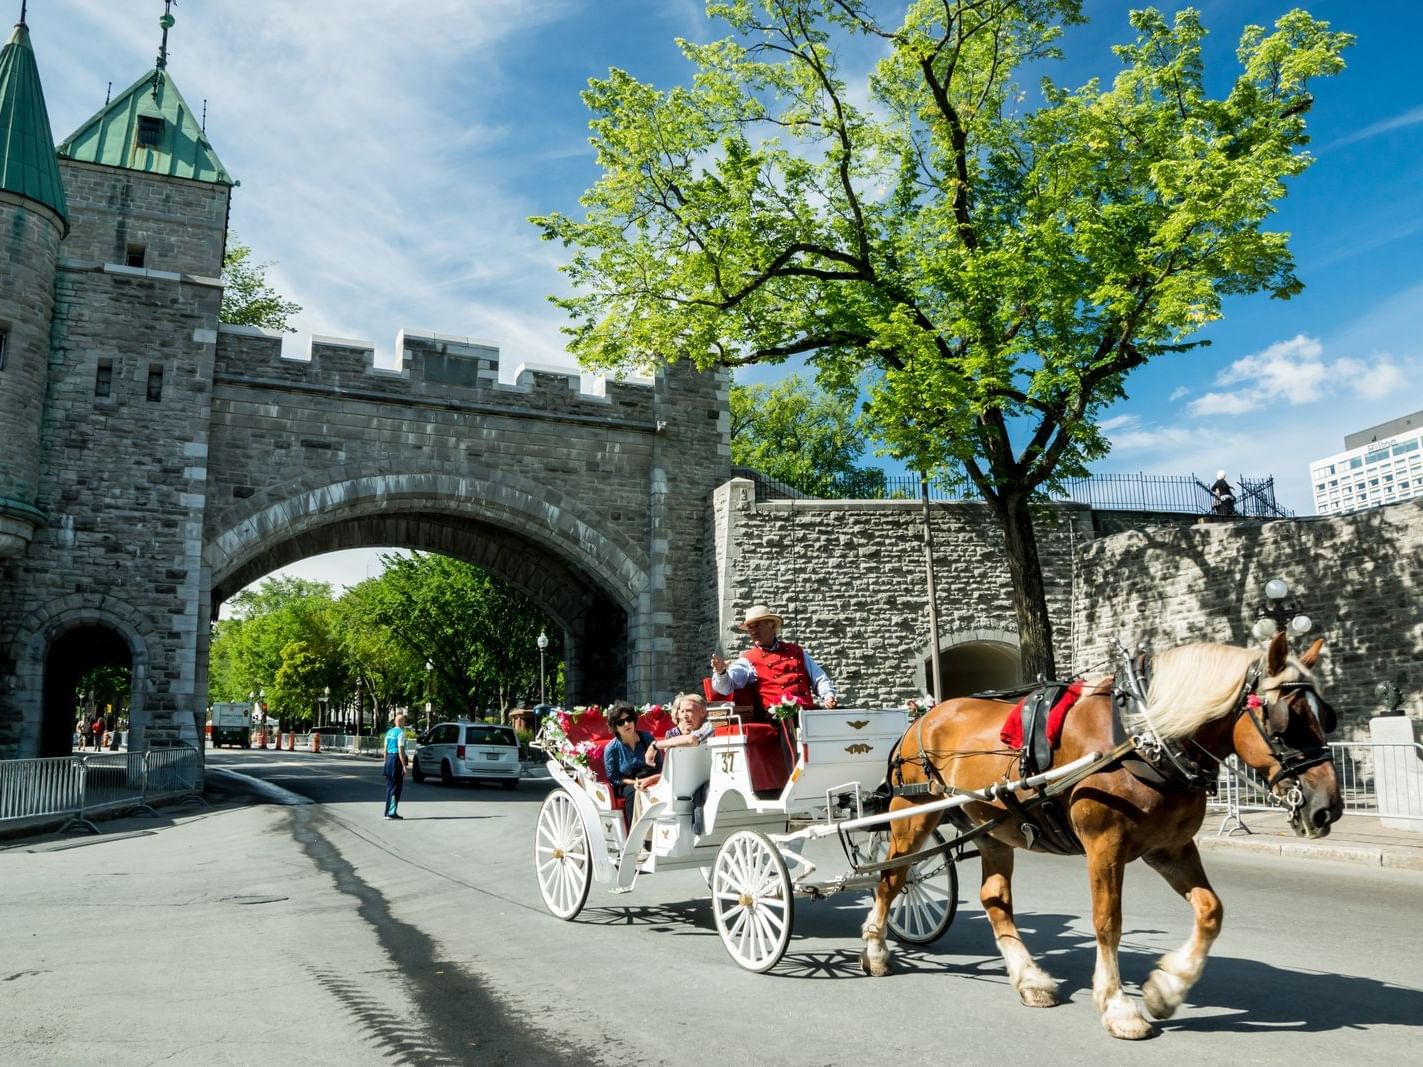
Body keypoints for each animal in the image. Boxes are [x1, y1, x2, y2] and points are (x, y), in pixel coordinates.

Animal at [859, 634, 1337, 1047]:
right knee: (892, 880)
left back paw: (1029, 978)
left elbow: (1210, 910)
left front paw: (1166, 988)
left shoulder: (1170, 849)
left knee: (994, 899)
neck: (1140, 736)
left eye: (1326, 716)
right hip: (912, 813)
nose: (1327, 807)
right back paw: (876, 951)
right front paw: (1118, 1006)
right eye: (1287, 721)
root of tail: (925, 715)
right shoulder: (1104, 847)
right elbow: (1108, 922)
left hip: (994, 827)